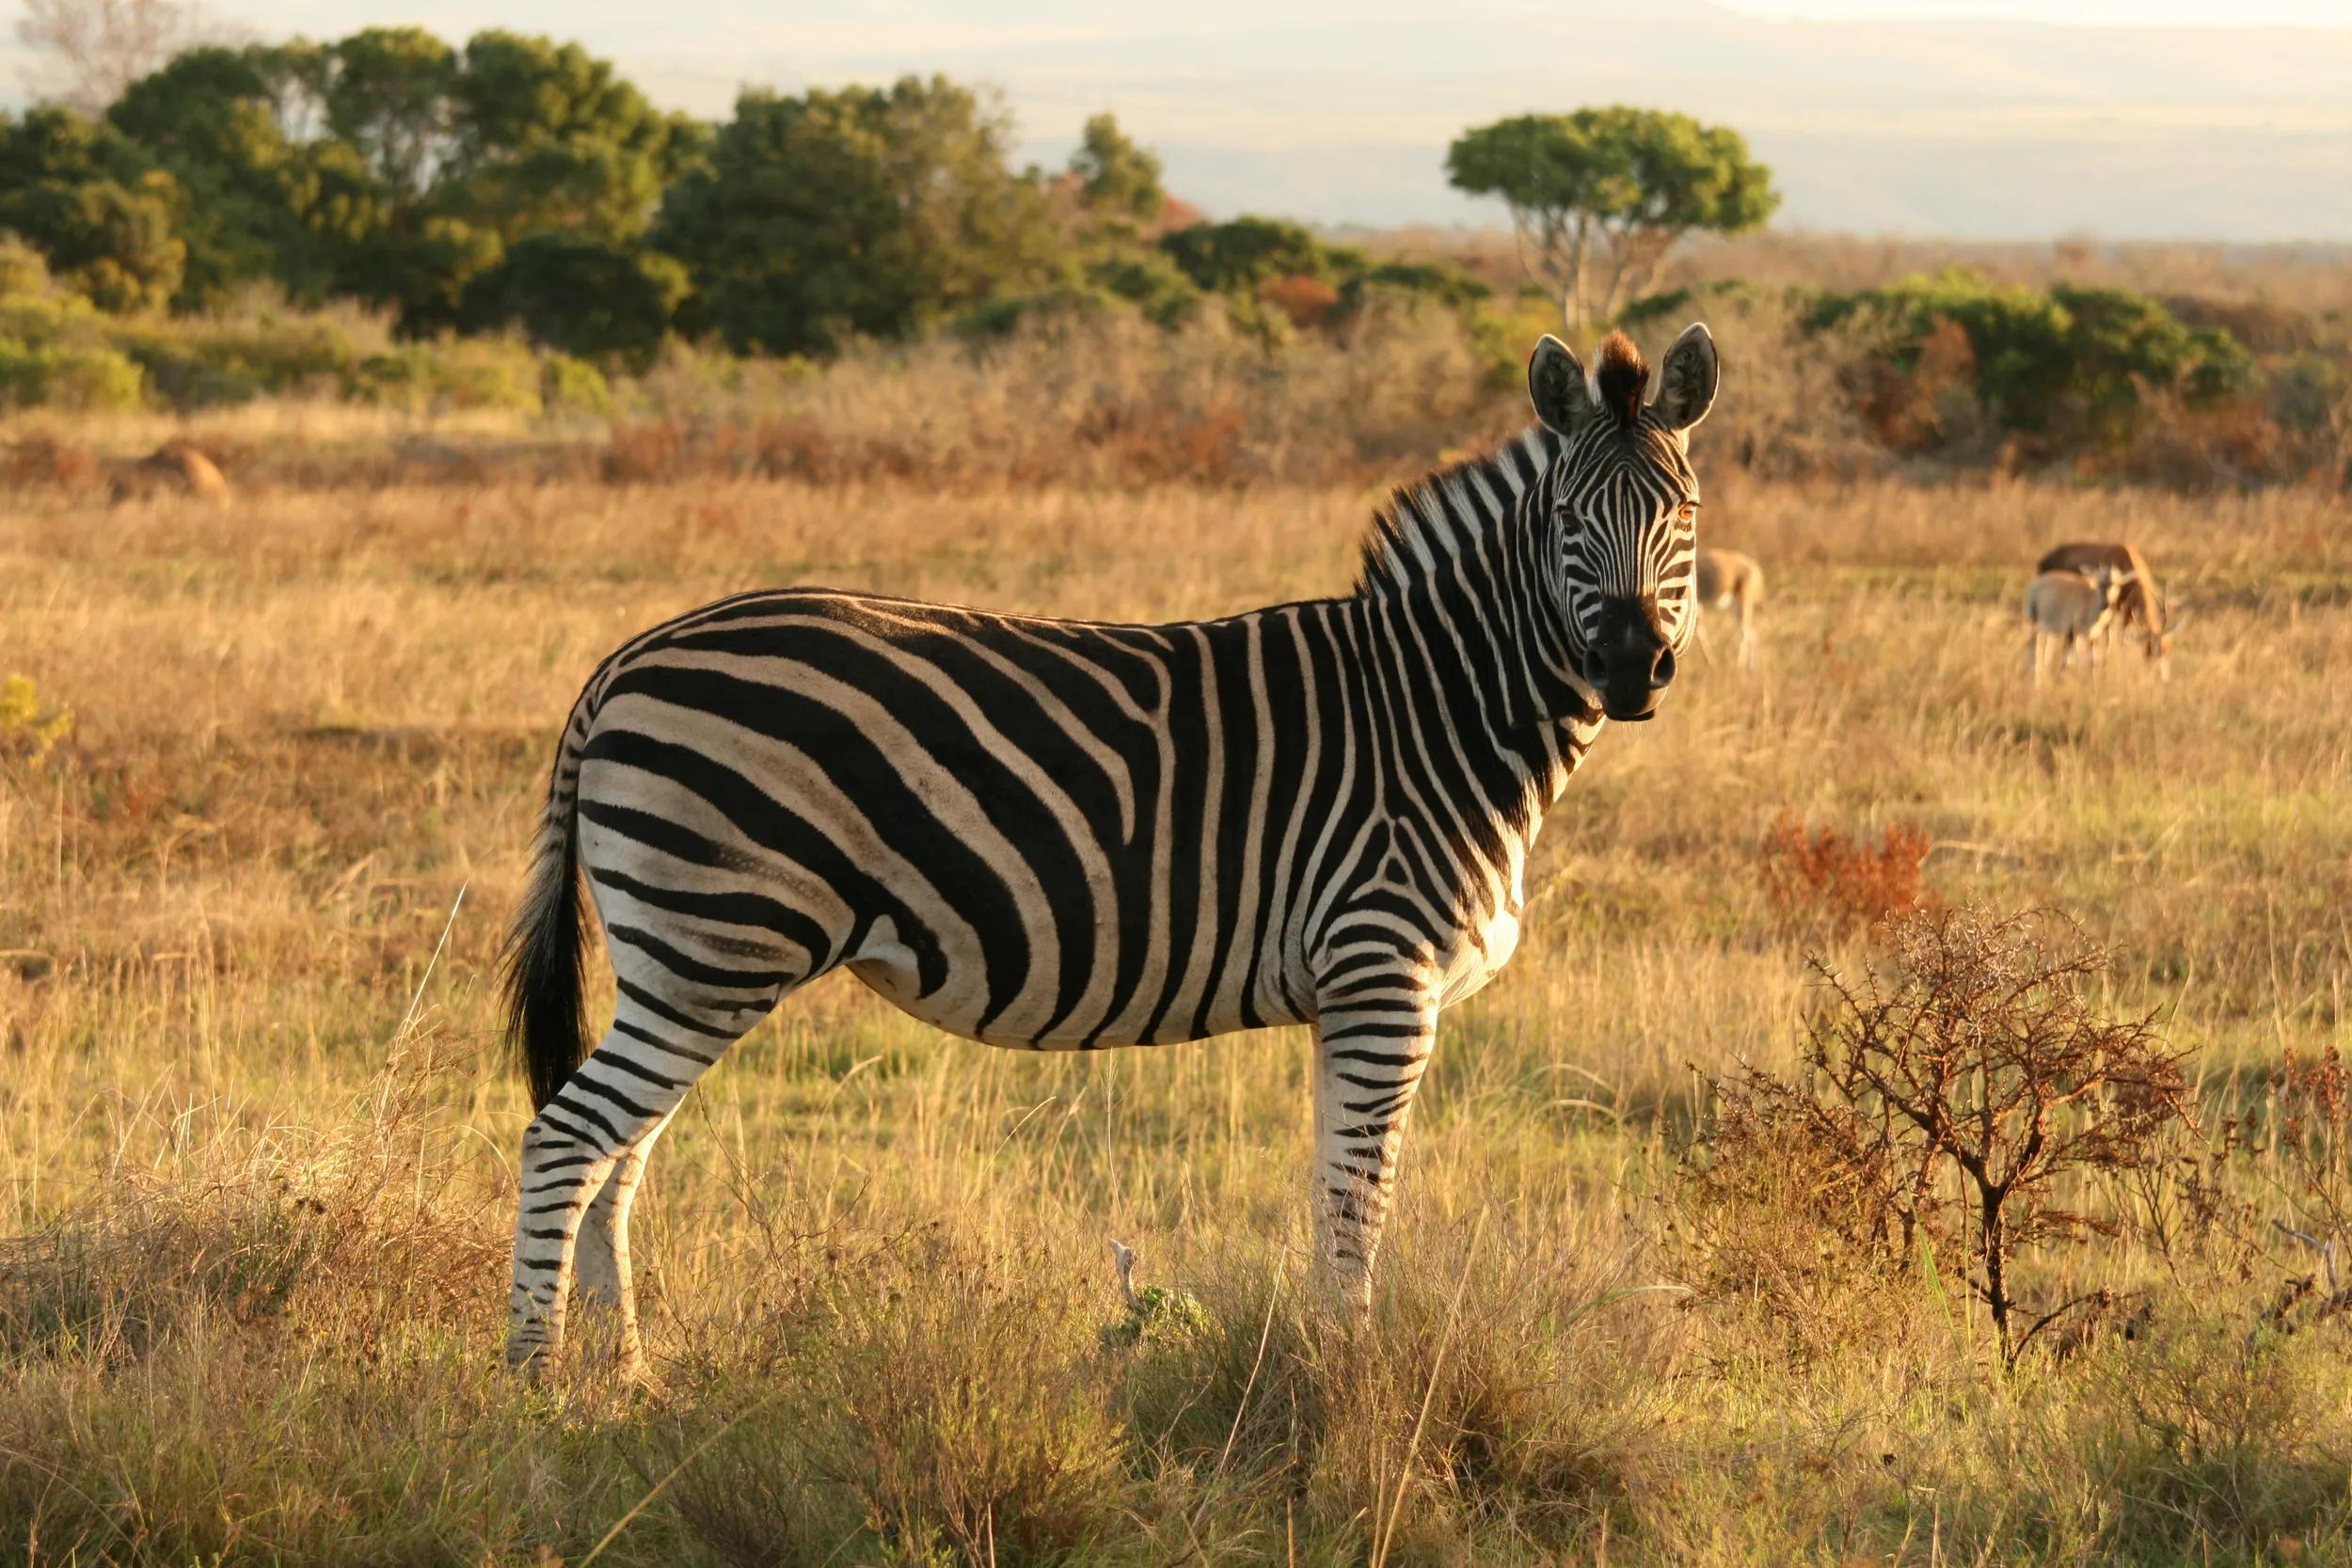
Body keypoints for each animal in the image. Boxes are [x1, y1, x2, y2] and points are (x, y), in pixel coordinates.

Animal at [499, 323, 1720, 1373]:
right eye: (1566, 514)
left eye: (1686, 510)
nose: (1630, 665)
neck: (1437, 706)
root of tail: (627, 656)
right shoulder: (1383, 973)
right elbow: (1358, 1199)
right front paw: (1349, 1381)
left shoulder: (1349, 993)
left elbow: (1329, 1191)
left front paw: (1323, 1362)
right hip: (714, 943)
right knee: (567, 1137)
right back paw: (537, 1385)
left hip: (685, 960)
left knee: (620, 1156)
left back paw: (630, 1376)